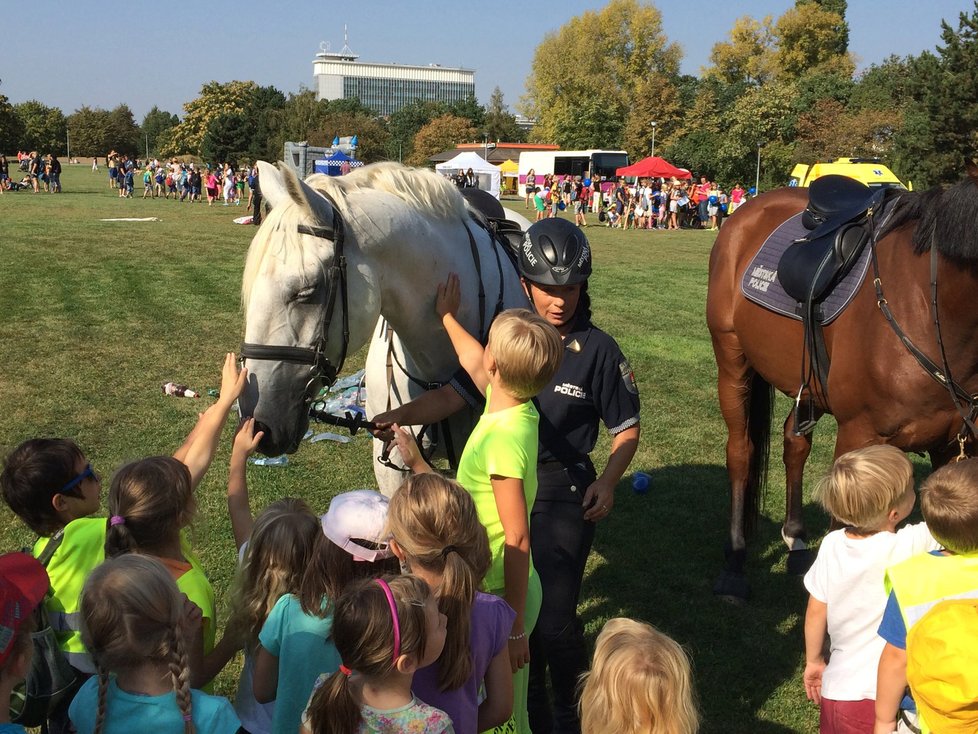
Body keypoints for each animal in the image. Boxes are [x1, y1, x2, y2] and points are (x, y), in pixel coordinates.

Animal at [704, 171, 976, 604]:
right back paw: (735, 561)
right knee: (741, 451)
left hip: (810, 380)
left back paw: (796, 542)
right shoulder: (858, 435)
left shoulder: (955, 446)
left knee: (794, 442)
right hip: (732, 363)